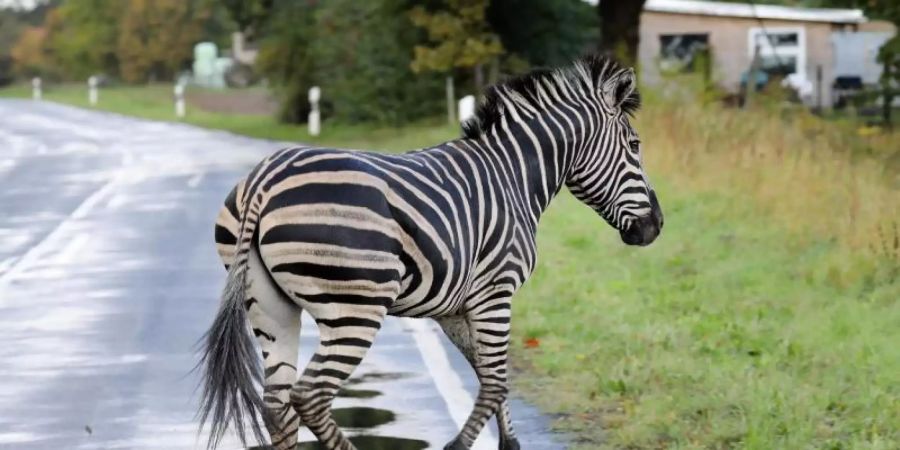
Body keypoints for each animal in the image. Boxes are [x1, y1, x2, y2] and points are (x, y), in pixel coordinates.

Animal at [197, 53, 660, 450]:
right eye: (635, 146)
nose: (655, 227)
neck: (512, 176)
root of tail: (264, 180)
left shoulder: (455, 306)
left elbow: (491, 375)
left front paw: (509, 443)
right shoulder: (497, 290)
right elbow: (495, 380)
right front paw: (459, 444)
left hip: (268, 304)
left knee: (277, 403)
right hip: (354, 307)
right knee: (309, 395)